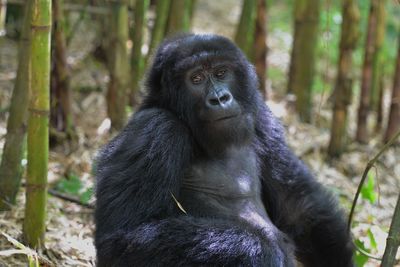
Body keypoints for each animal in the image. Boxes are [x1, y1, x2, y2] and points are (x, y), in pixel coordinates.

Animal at [94, 34, 354, 266]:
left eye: (221, 73)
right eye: (196, 78)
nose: (220, 98)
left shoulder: (260, 114)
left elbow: (298, 204)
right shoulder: (155, 128)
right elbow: (125, 238)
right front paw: (264, 249)